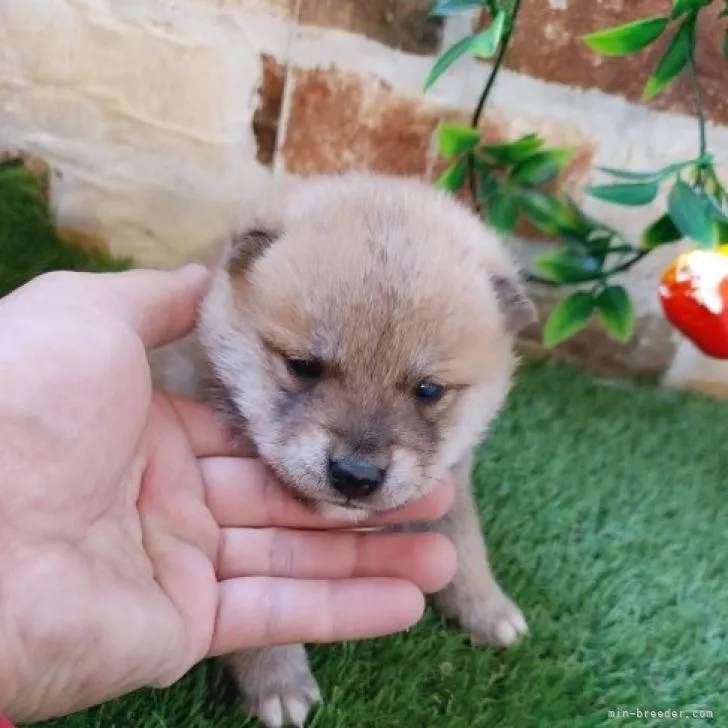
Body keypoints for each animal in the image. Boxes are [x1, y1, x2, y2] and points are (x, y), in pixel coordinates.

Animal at [151, 172, 536, 728]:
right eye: (302, 366)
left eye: (428, 390)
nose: (356, 474)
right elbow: (264, 619)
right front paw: (280, 685)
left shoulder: (451, 484)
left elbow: (465, 548)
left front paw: (489, 611)